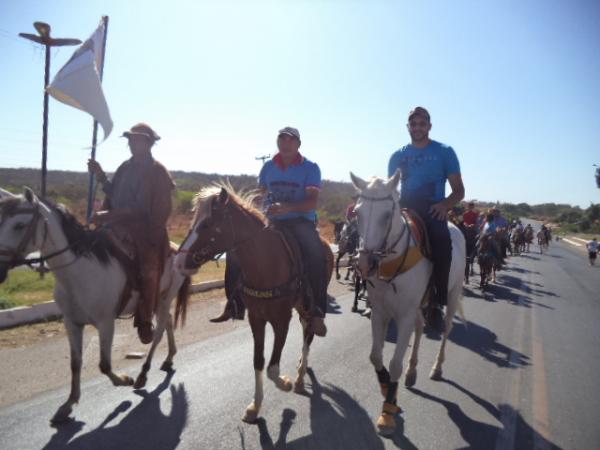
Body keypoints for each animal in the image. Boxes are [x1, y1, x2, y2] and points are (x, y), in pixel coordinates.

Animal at [0, 187, 190, 426]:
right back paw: (168, 358)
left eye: (19, 225)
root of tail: (175, 249)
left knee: (158, 333)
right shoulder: (71, 323)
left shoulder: (106, 323)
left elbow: (104, 364)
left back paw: (142, 374)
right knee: (169, 323)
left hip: (164, 298)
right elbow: (75, 363)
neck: (80, 272)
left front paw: (124, 380)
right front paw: (68, 404)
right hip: (159, 301)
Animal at [175, 185, 332, 424]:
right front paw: (254, 407)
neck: (266, 263)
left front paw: (285, 383)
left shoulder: (281, 320)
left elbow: (272, 369)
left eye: (207, 224)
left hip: (307, 306)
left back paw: (299, 377)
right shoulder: (256, 318)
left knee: (309, 332)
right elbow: (258, 361)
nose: (178, 262)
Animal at [350, 172, 466, 436]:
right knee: (420, 328)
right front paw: (385, 387)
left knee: (446, 329)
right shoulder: (379, 313)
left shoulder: (402, 316)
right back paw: (413, 371)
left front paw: (388, 411)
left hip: (452, 294)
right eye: (357, 213)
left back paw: (437, 368)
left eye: (386, 215)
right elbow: (375, 356)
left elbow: (394, 363)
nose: (364, 264)